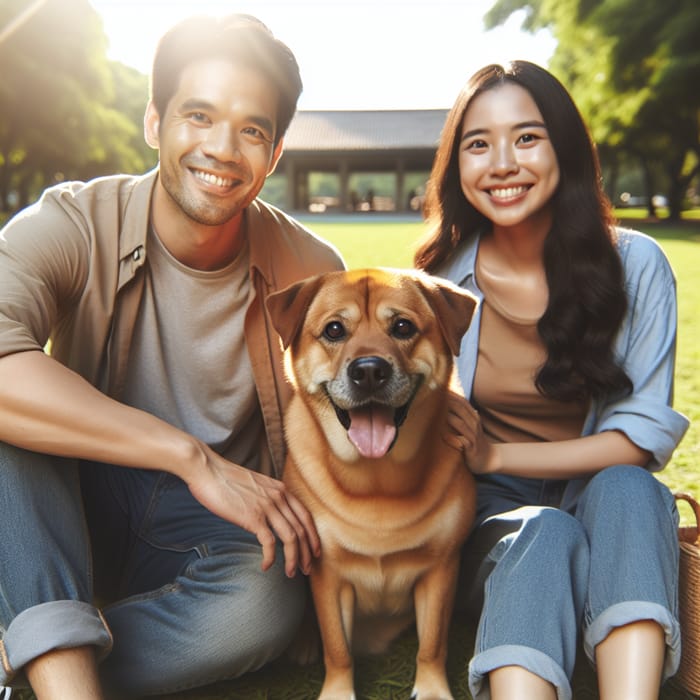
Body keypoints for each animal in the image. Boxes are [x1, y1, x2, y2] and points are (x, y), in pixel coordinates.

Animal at [266, 270, 476, 700]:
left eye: (402, 327)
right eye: (334, 330)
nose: (368, 371)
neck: (378, 483)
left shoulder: (442, 568)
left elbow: (433, 643)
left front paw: (432, 688)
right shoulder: (327, 574)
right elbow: (337, 647)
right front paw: (337, 691)